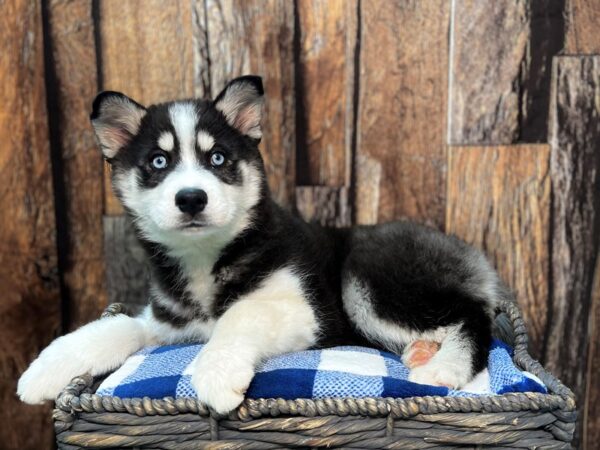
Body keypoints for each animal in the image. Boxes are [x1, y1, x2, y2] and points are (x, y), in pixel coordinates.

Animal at [19, 75, 516, 414]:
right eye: (158, 162)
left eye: (218, 158)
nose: (191, 198)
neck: (207, 259)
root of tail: (471, 255)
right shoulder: (165, 321)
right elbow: (113, 327)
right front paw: (44, 369)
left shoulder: (306, 309)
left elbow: (240, 315)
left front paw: (217, 372)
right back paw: (423, 351)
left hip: (368, 275)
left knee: (472, 316)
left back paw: (445, 368)